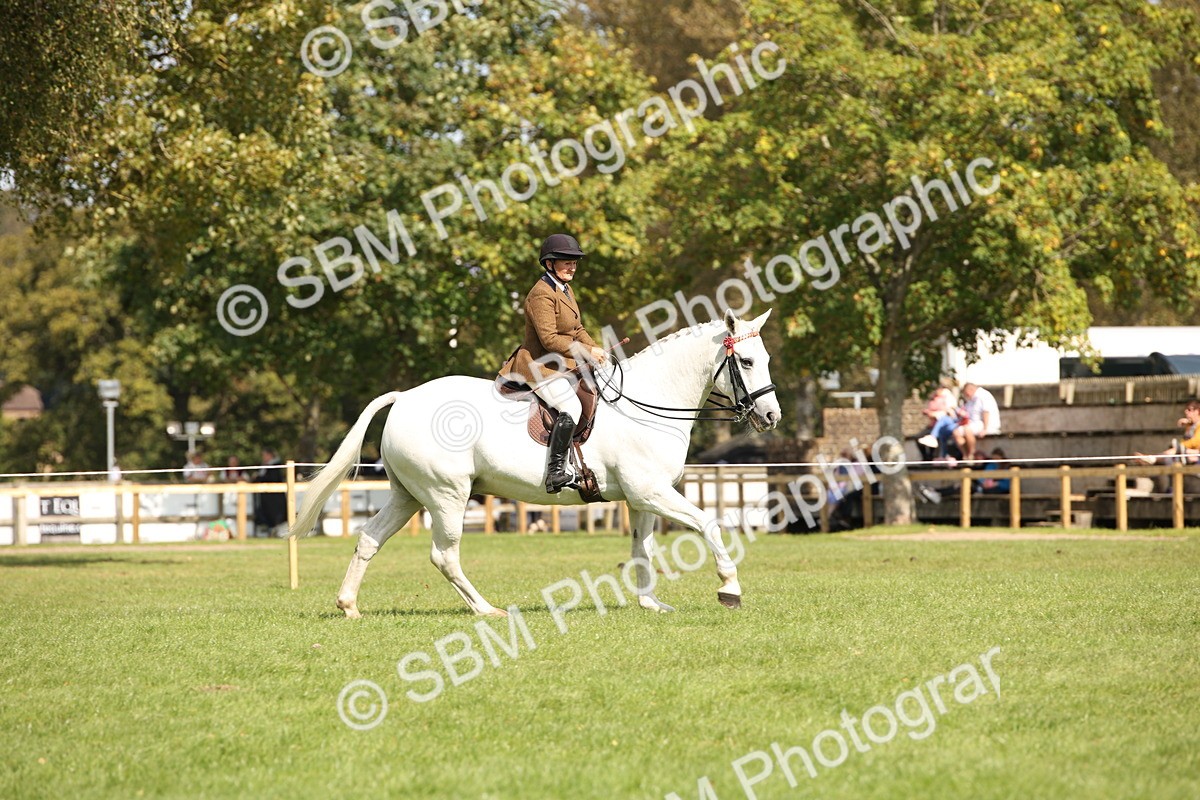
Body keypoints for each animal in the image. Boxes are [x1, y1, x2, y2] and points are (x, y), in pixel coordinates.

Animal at [290, 309, 782, 618]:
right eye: (747, 361)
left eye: (766, 359)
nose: (772, 417)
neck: (649, 402)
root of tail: (405, 397)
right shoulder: (652, 492)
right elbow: (709, 524)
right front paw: (729, 588)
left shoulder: (641, 498)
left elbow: (641, 550)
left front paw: (650, 605)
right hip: (447, 495)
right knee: (444, 555)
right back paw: (486, 609)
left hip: (407, 495)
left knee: (369, 539)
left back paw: (349, 606)